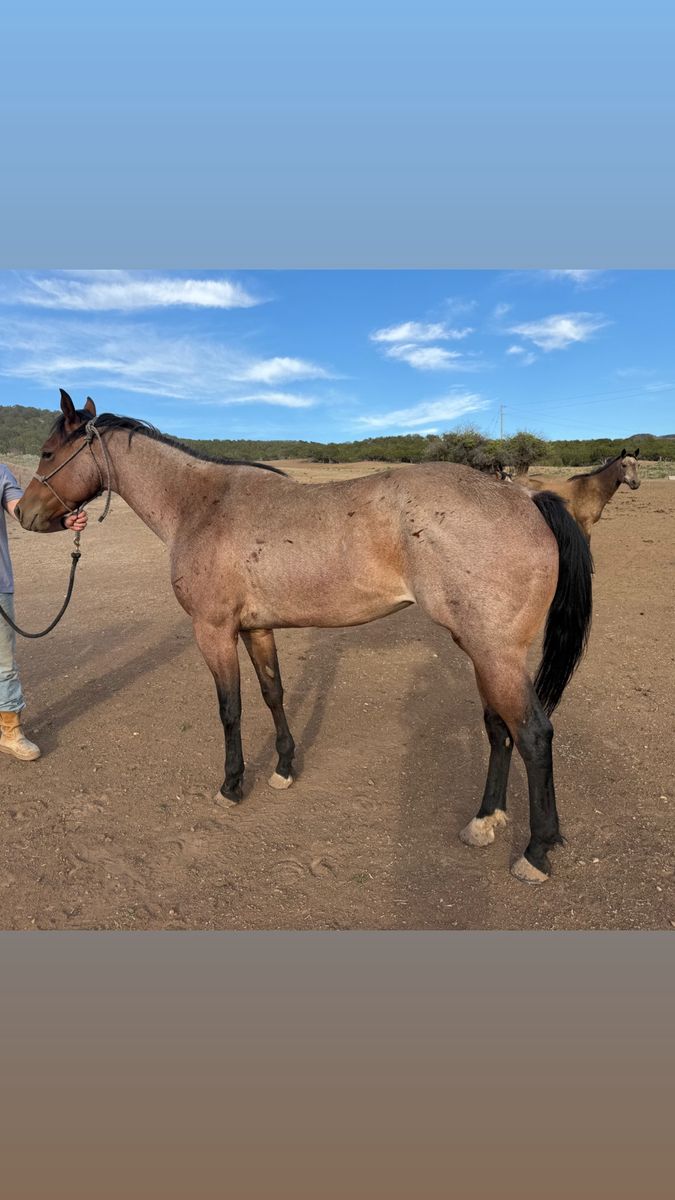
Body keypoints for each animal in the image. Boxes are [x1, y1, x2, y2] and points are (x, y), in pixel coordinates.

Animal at [16, 390, 594, 885]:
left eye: (47, 453)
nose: (21, 513)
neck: (202, 505)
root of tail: (526, 499)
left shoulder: (214, 631)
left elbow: (231, 708)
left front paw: (232, 786)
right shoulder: (257, 629)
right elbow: (273, 693)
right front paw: (284, 768)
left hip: (494, 655)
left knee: (533, 735)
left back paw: (535, 852)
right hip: (483, 652)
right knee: (499, 729)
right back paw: (484, 820)